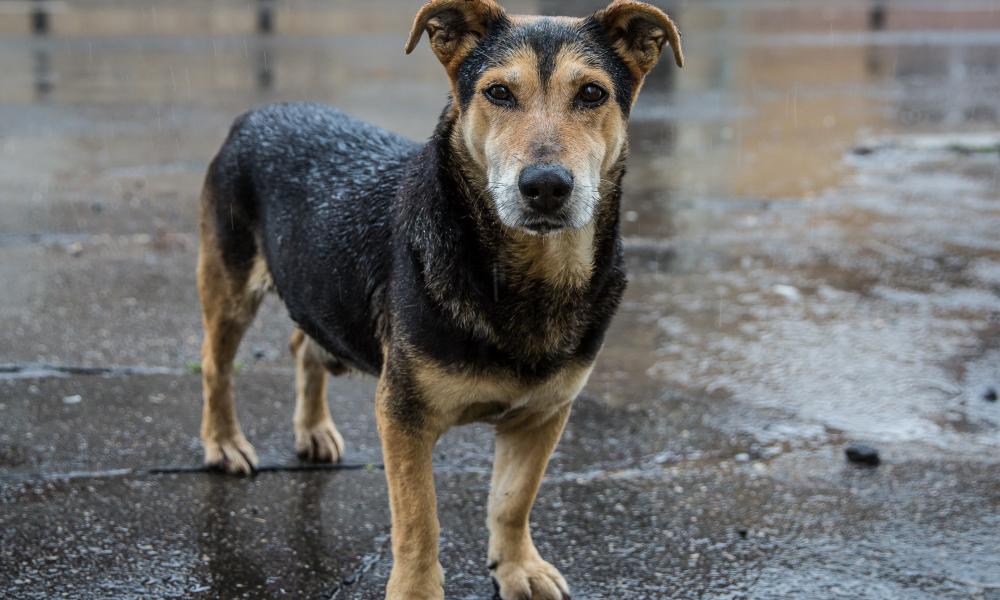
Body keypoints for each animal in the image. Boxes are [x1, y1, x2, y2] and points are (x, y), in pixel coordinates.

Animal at [196, 1, 682, 597]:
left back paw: (312, 429)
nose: (545, 185)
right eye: (498, 92)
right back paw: (224, 442)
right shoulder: (403, 415)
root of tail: (258, 112)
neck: (527, 274)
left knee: (303, 345)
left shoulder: (544, 414)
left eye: (592, 93)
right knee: (216, 365)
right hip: (230, 283)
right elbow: (418, 518)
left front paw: (516, 567)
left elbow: (513, 500)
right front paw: (416, 589)